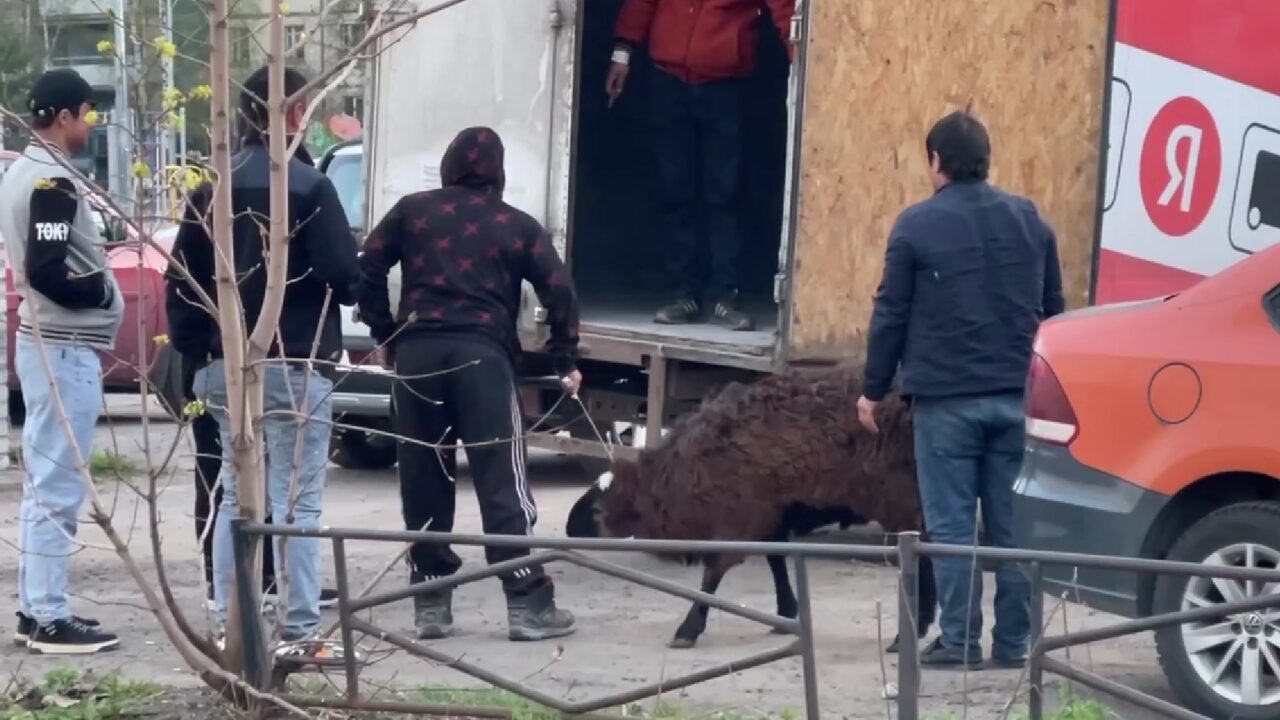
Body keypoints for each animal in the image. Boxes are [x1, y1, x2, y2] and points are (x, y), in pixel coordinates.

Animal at [565, 361, 936, 648]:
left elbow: (714, 571)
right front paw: (787, 610)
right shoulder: (770, 513)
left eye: (597, 511)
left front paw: (689, 627)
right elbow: (775, 559)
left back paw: (910, 632)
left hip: (906, 500)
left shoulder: (740, 513)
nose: (568, 528)